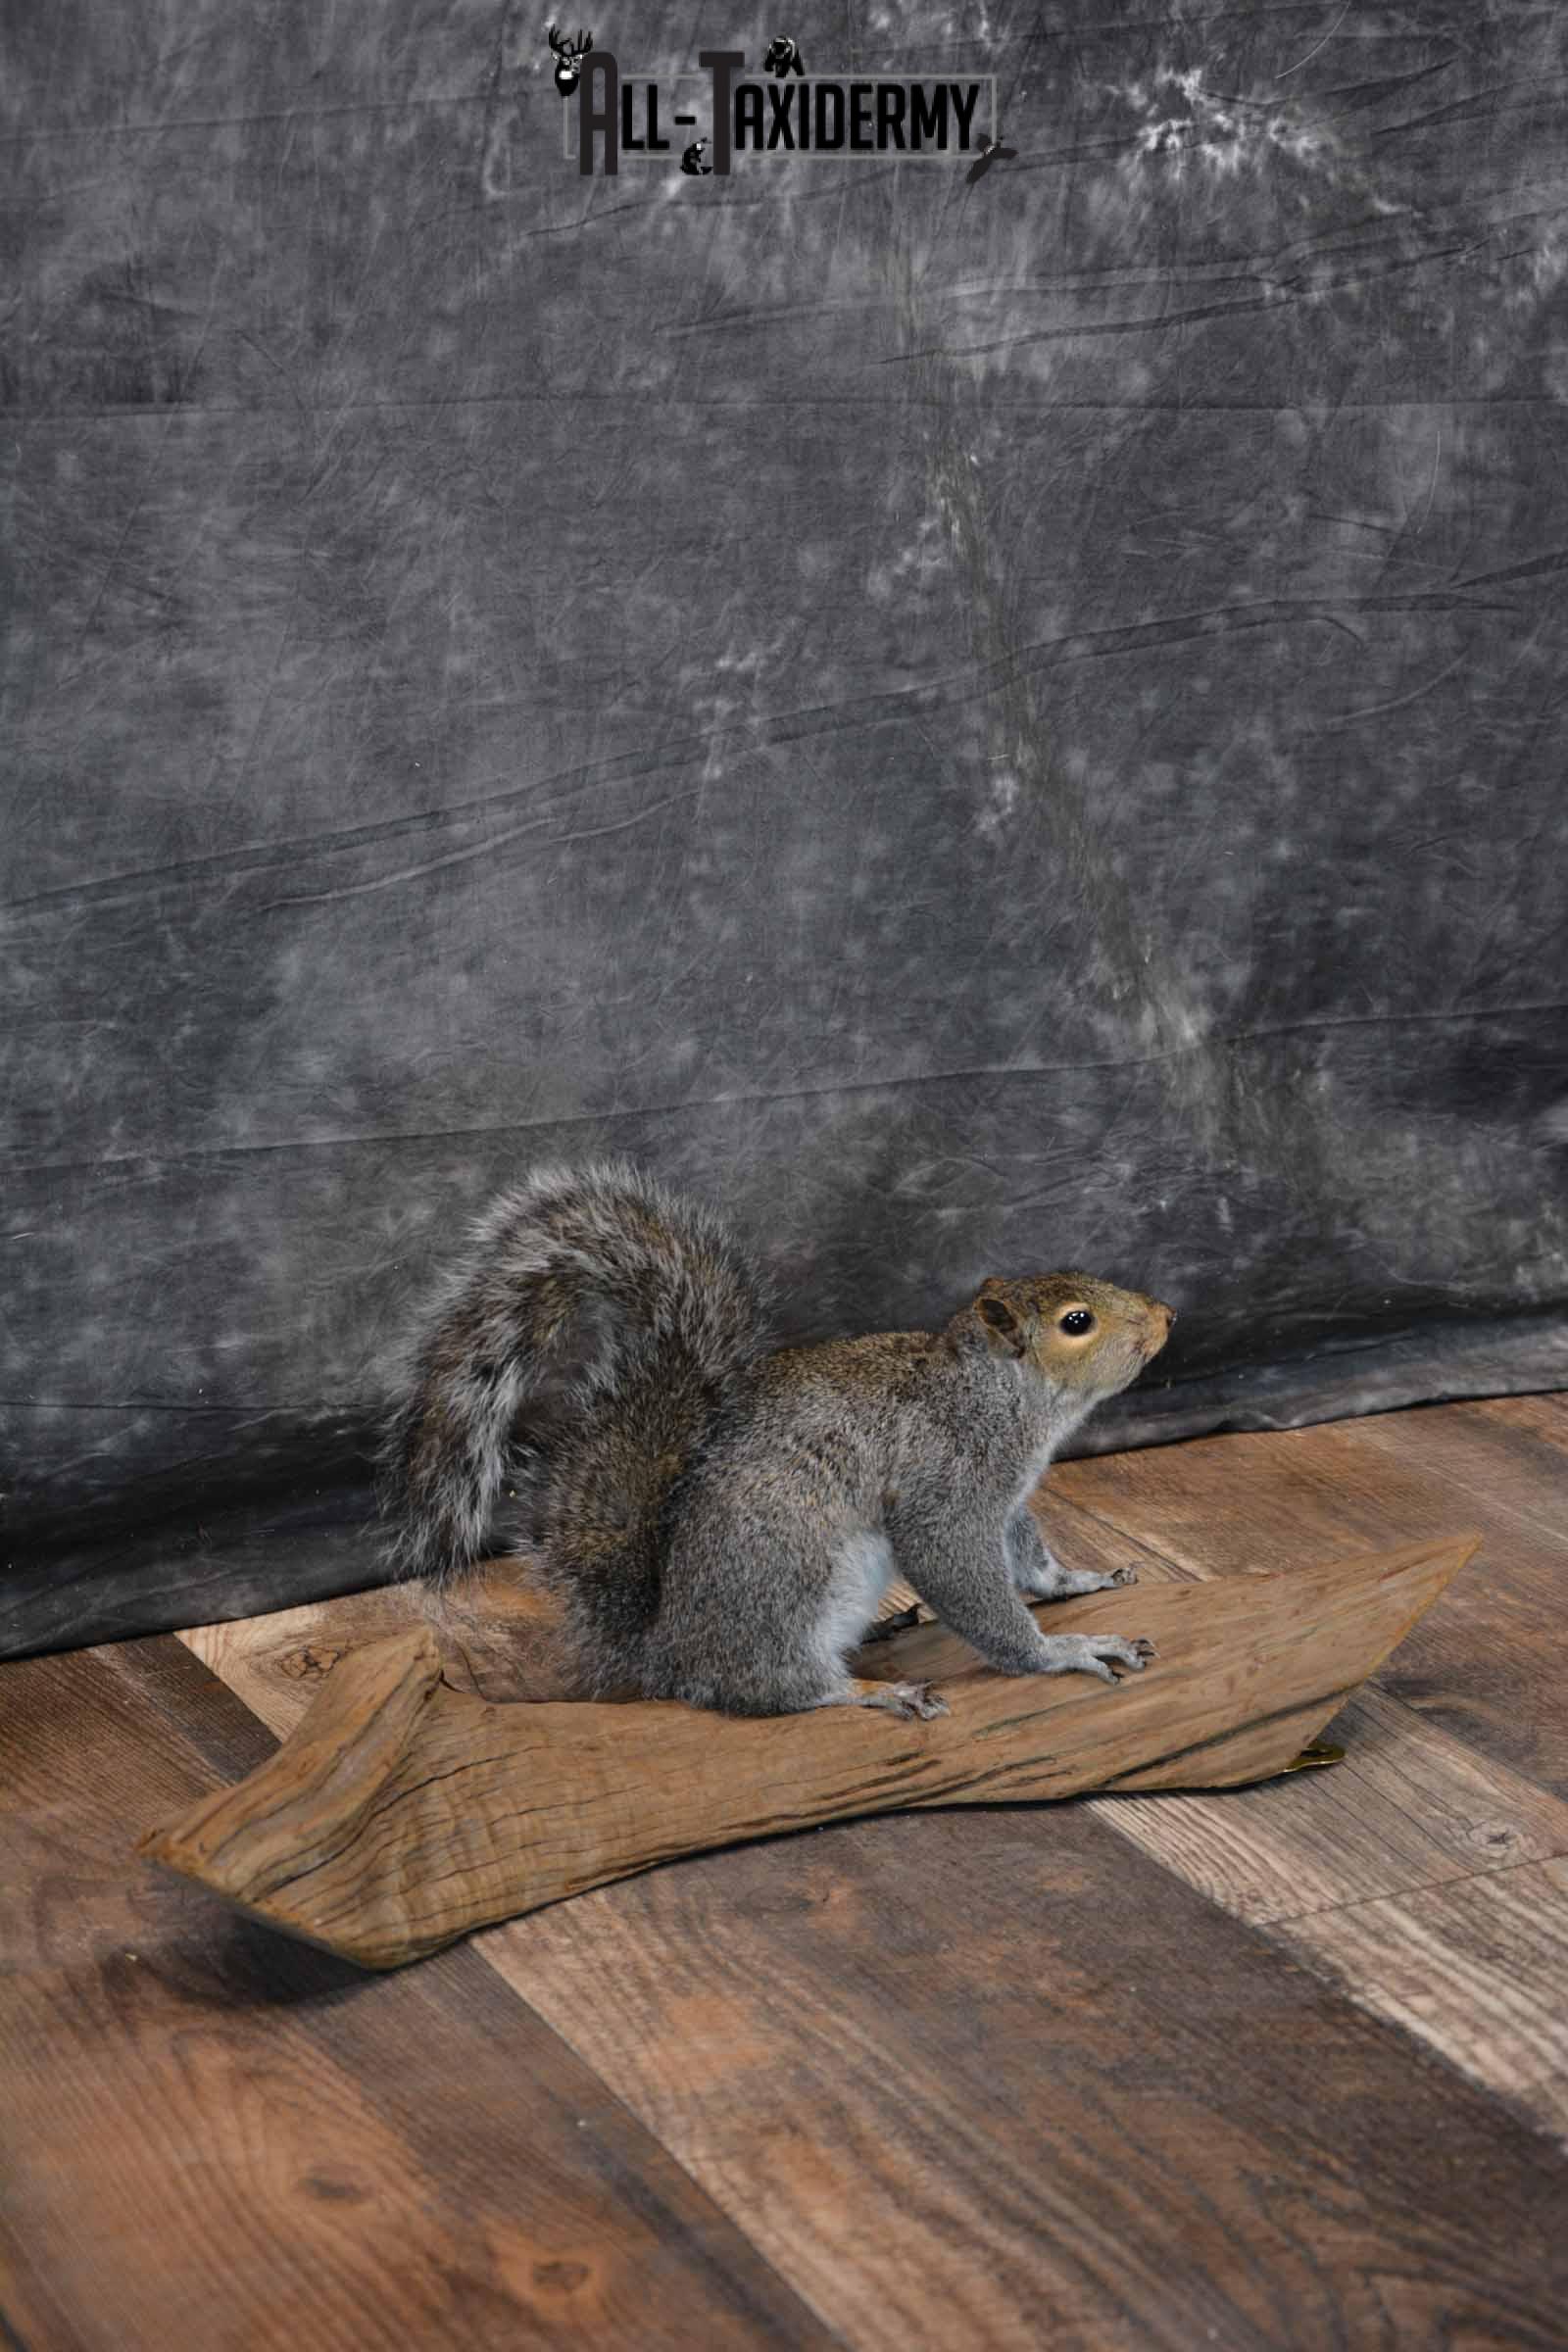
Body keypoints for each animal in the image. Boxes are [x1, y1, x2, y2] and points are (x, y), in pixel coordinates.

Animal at [380, 1160, 1174, 1721]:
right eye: (1077, 1321)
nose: (1166, 1316)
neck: (994, 1396)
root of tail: (666, 1650)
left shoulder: (1004, 1501)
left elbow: (1029, 1559)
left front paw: (1079, 1581)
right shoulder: (944, 1487)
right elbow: (964, 1579)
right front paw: (1057, 1653)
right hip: (785, 1575)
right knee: (766, 1688)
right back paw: (861, 1691)